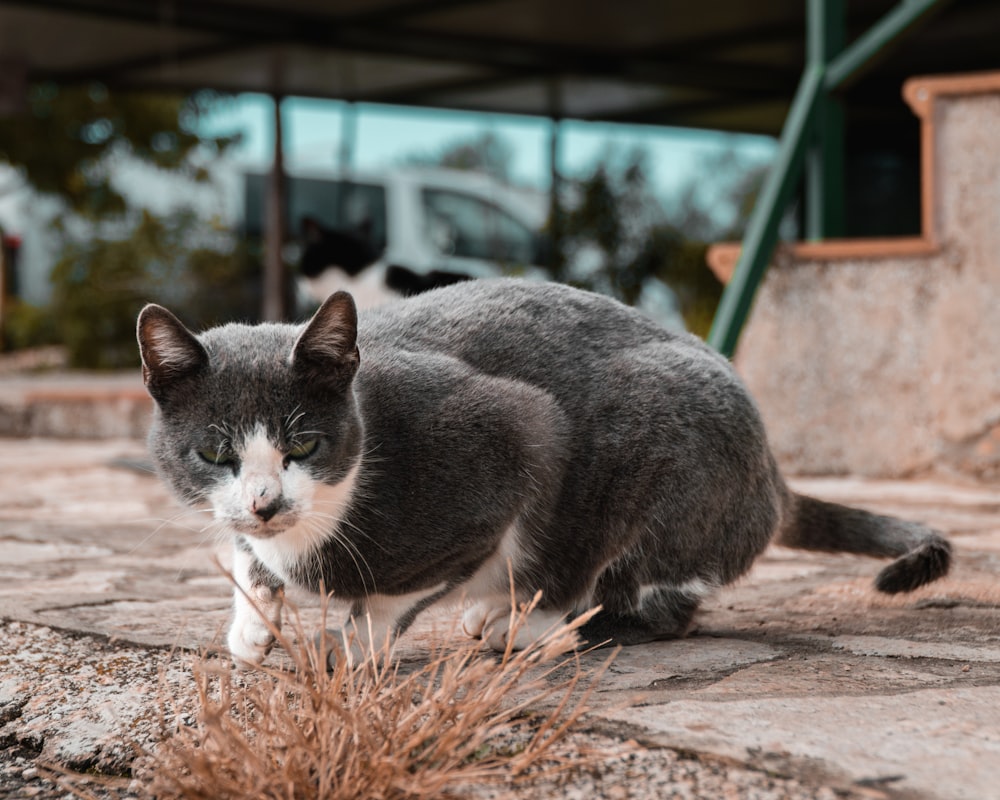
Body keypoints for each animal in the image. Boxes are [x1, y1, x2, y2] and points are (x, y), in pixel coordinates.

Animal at [137, 278, 948, 664]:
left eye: (303, 445)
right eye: (215, 453)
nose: (265, 502)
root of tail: (774, 477)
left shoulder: (510, 436)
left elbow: (399, 593)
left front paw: (358, 645)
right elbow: (247, 558)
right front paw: (251, 623)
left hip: (654, 456)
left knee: (639, 592)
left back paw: (526, 625)